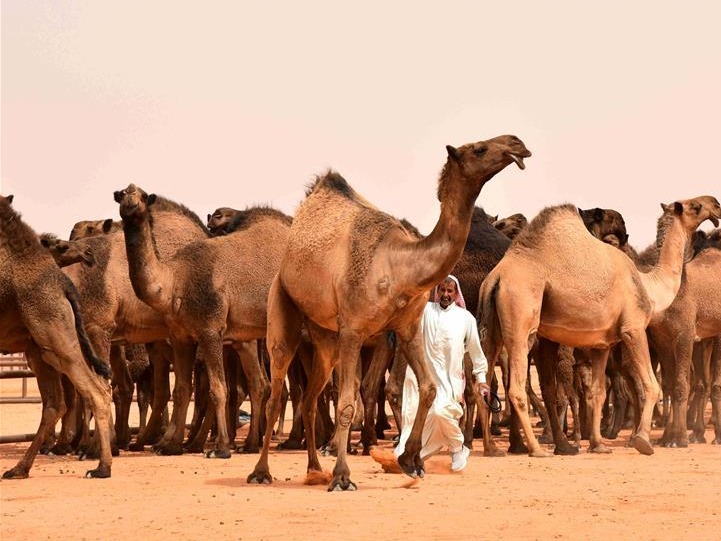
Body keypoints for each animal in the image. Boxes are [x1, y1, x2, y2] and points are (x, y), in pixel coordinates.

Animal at [0, 193, 113, 476]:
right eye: (60, 245)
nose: (88, 253)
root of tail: (64, 285)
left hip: (54, 335)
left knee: (94, 391)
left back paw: (102, 466)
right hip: (41, 348)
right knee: (55, 403)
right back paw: (20, 468)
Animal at [114, 185, 288, 456]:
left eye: (142, 196)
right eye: (122, 194)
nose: (131, 205)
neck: (175, 282)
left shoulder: (210, 330)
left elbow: (217, 389)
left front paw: (221, 448)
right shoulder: (181, 337)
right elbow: (182, 390)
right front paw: (170, 445)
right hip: (248, 338)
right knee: (260, 384)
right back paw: (250, 444)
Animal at [245, 134, 532, 490]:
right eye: (479, 148)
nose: (517, 143)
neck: (398, 267)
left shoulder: (406, 329)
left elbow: (429, 388)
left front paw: (410, 460)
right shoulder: (353, 331)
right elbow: (347, 403)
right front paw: (342, 476)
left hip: (324, 338)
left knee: (311, 398)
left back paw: (313, 468)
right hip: (283, 303)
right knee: (277, 390)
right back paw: (261, 471)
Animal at [478, 195, 720, 456]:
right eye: (695, 206)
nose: (716, 204)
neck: (649, 286)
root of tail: (497, 277)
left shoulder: (602, 345)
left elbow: (598, 392)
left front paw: (598, 444)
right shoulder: (633, 329)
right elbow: (650, 385)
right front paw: (642, 441)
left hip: (492, 327)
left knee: (483, 380)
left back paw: (492, 447)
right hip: (521, 316)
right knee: (515, 386)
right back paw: (536, 448)